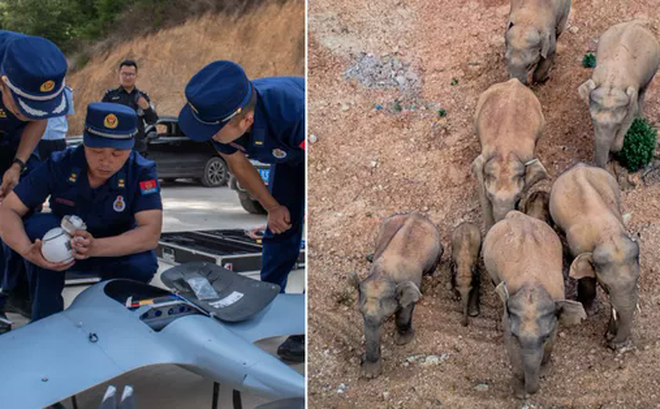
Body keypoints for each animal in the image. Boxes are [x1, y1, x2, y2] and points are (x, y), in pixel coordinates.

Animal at [348, 212, 440, 378]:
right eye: (361, 314)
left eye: (384, 319)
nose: (369, 375)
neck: (384, 274)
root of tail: (416, 213)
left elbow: (405, 311)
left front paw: (403, 341)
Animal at [482, 210, 584, 396]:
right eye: (515, 336)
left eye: (544, 337)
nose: (529, 391)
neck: (532, 285)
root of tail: (516, 215)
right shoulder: (507, 319)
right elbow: (511, 347)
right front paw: (518, 390)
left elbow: (552, 340)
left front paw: (543, 372)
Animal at [552, 163, 640, 348]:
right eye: (607, 287)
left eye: (637, 280)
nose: (610, 341)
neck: (607, 235)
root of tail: (579, 165)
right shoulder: (579, 247)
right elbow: (586, 279)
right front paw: (590, 311)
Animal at [576, 20, 660, 167]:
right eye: (593, 121)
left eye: (618, 125)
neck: (612, 82)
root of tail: (634, 22)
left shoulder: (631, 94)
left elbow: (631, 114)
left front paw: (614, 149)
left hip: (653, 68)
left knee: (643, 90)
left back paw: (641, 118)